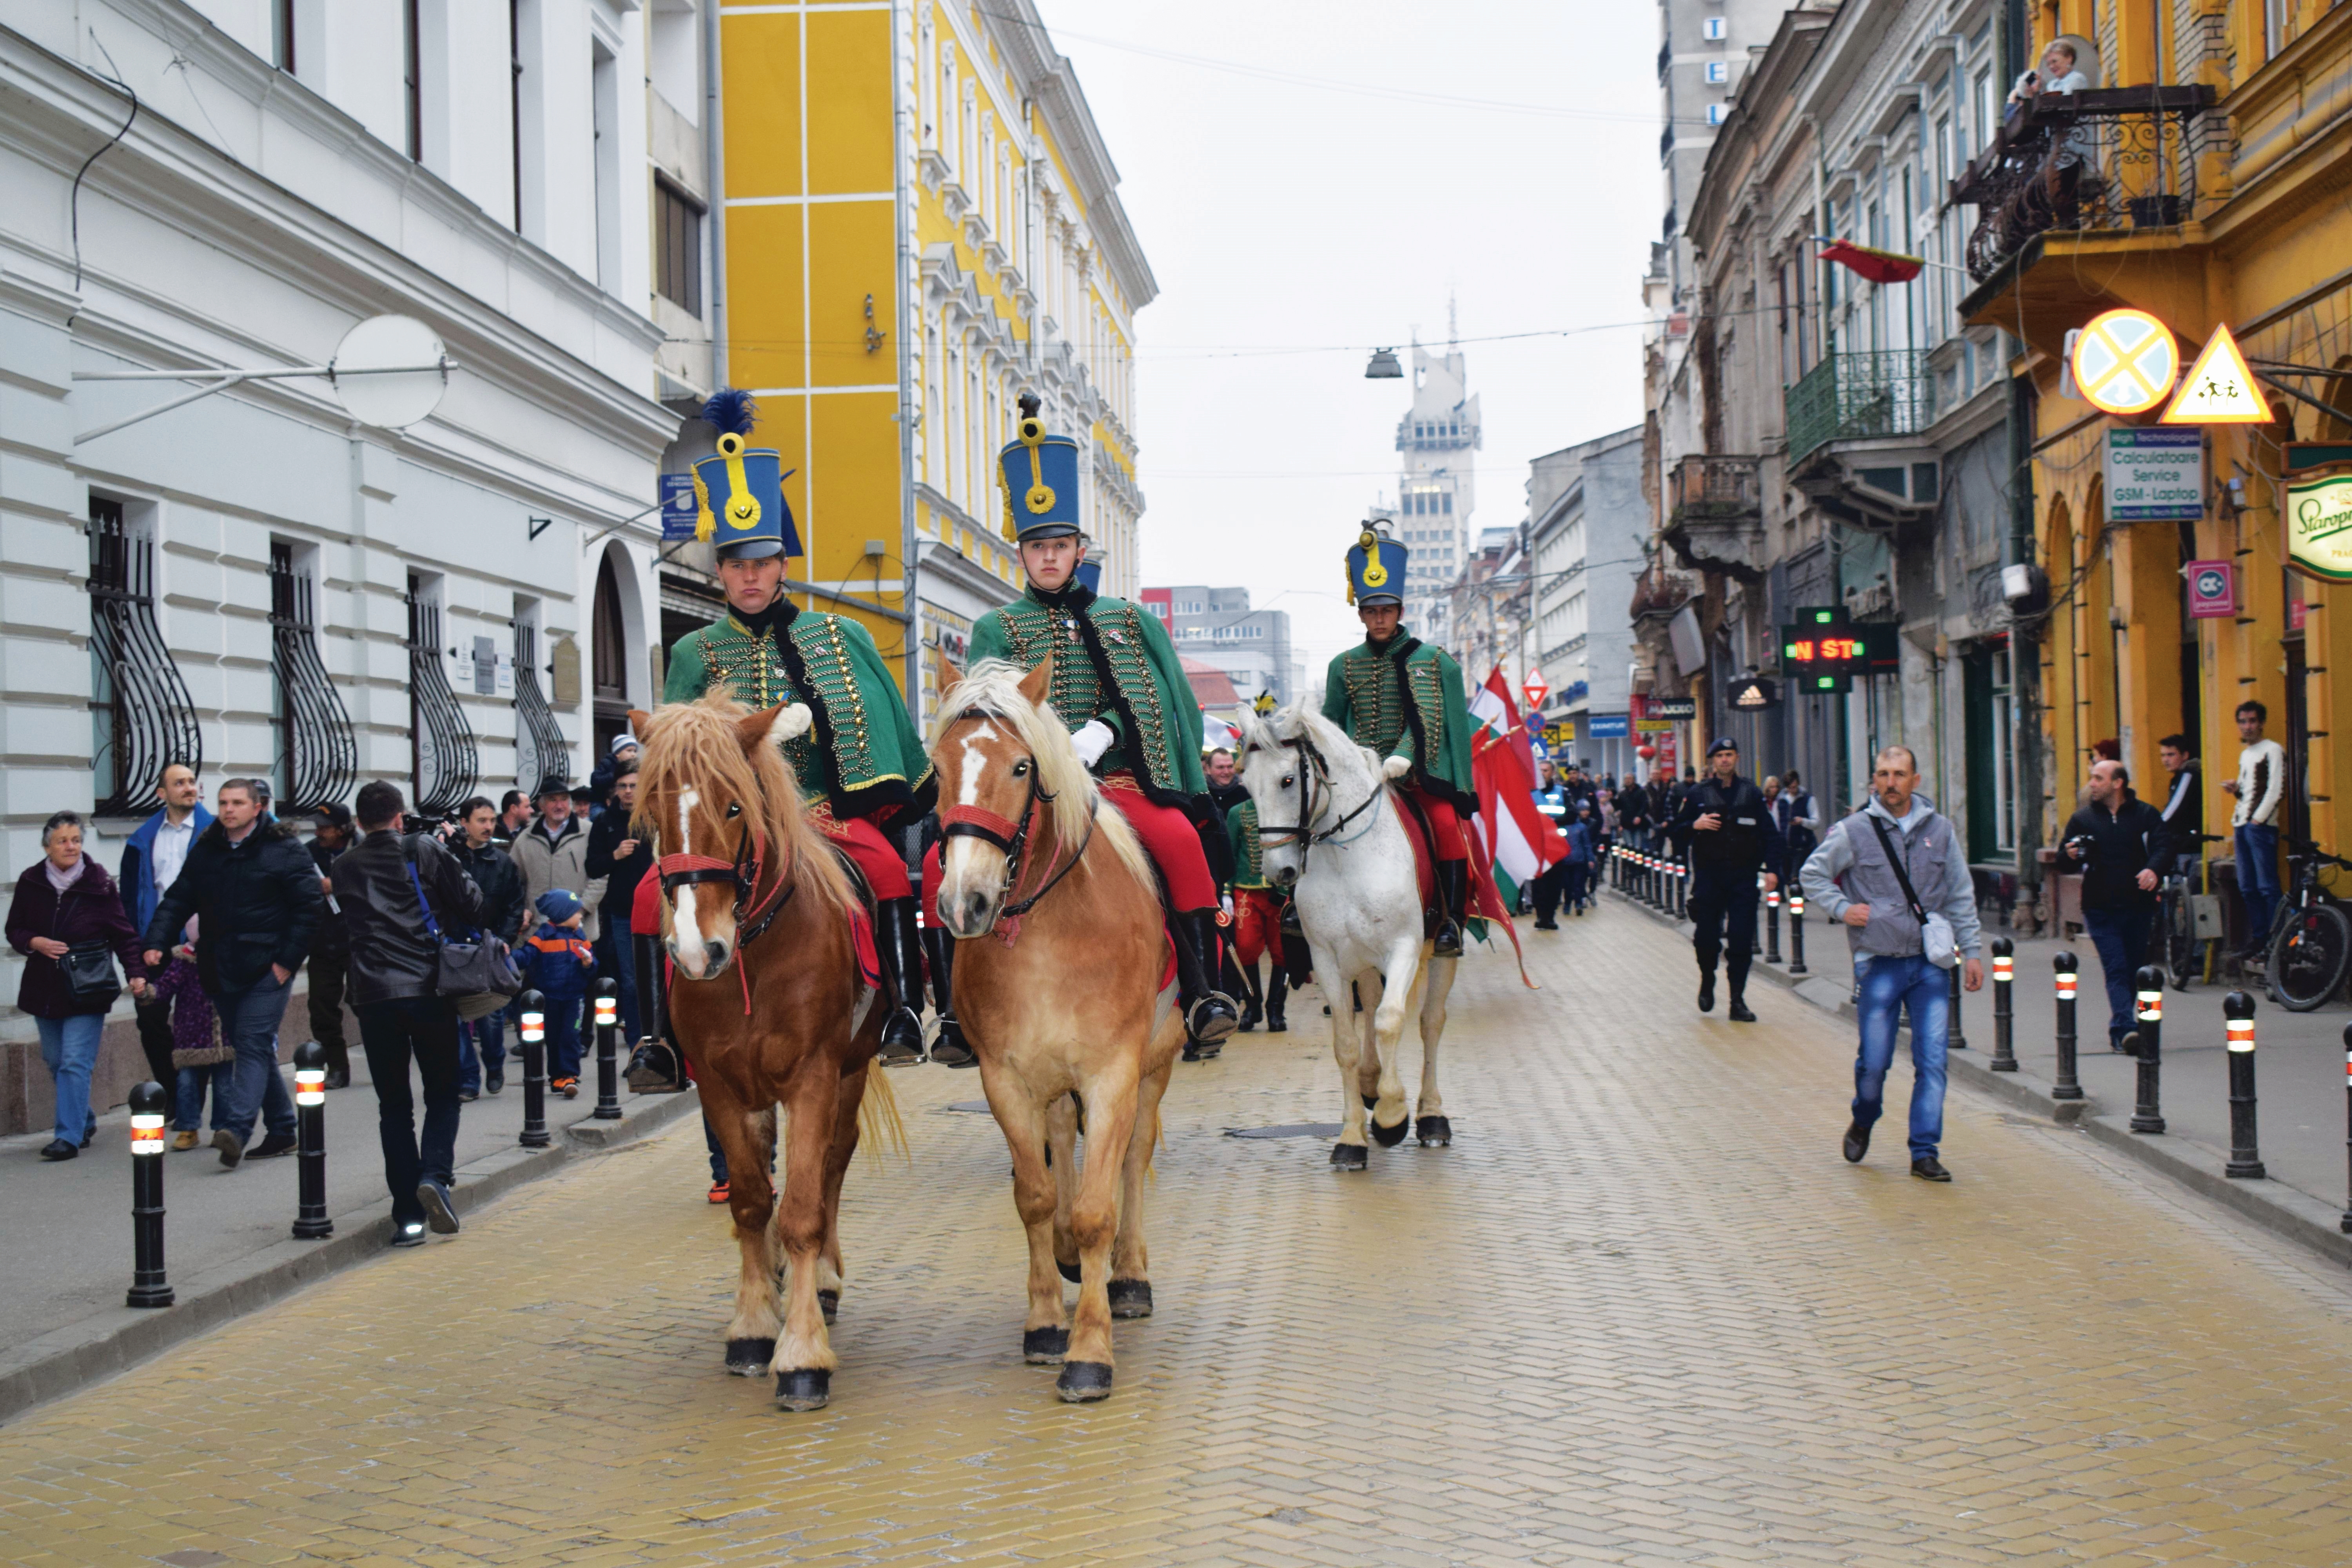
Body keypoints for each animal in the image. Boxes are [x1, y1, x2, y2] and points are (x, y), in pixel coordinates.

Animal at [626, 691, 898, 1420]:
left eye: (733, 806)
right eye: (654, 808)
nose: (698, 952)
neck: (758, 950)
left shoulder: (813, 1076)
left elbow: (803, 1206)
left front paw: (801, 1354)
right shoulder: (719, 1086)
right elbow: (751, 1201)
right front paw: (753, 1324)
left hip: (851, 1071)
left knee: (832, 1165)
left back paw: (823, 1279)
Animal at [927, 658, 1185, 1401]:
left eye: (1021, 767)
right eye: (938, 767)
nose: (965, 903)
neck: (1049, 929)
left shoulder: (1112, 1075)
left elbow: (1100, 1205)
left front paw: (1090, 1351)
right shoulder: (1006, 1080)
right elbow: (1037, 1197)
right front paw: (1045, 1323)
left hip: (1155, 1065)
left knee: (1132, 1159)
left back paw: (1128, 1277)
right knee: (1063, 1141)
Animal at [1242, 705, 1458, 1171]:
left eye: (1288, 780)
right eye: (1246, 785)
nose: (1278, 872)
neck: (1347, 857)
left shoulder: (1404, 949)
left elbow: (1391, 1022)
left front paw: (1393, 1116)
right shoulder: (1326, 959)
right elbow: (1346, 1042)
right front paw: (1352, 1137)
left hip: (1440, 954)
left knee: (1430, 1023)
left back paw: (1431, 1116)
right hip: (1362, 960)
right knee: (1373, 1005)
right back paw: (1371, 1083)